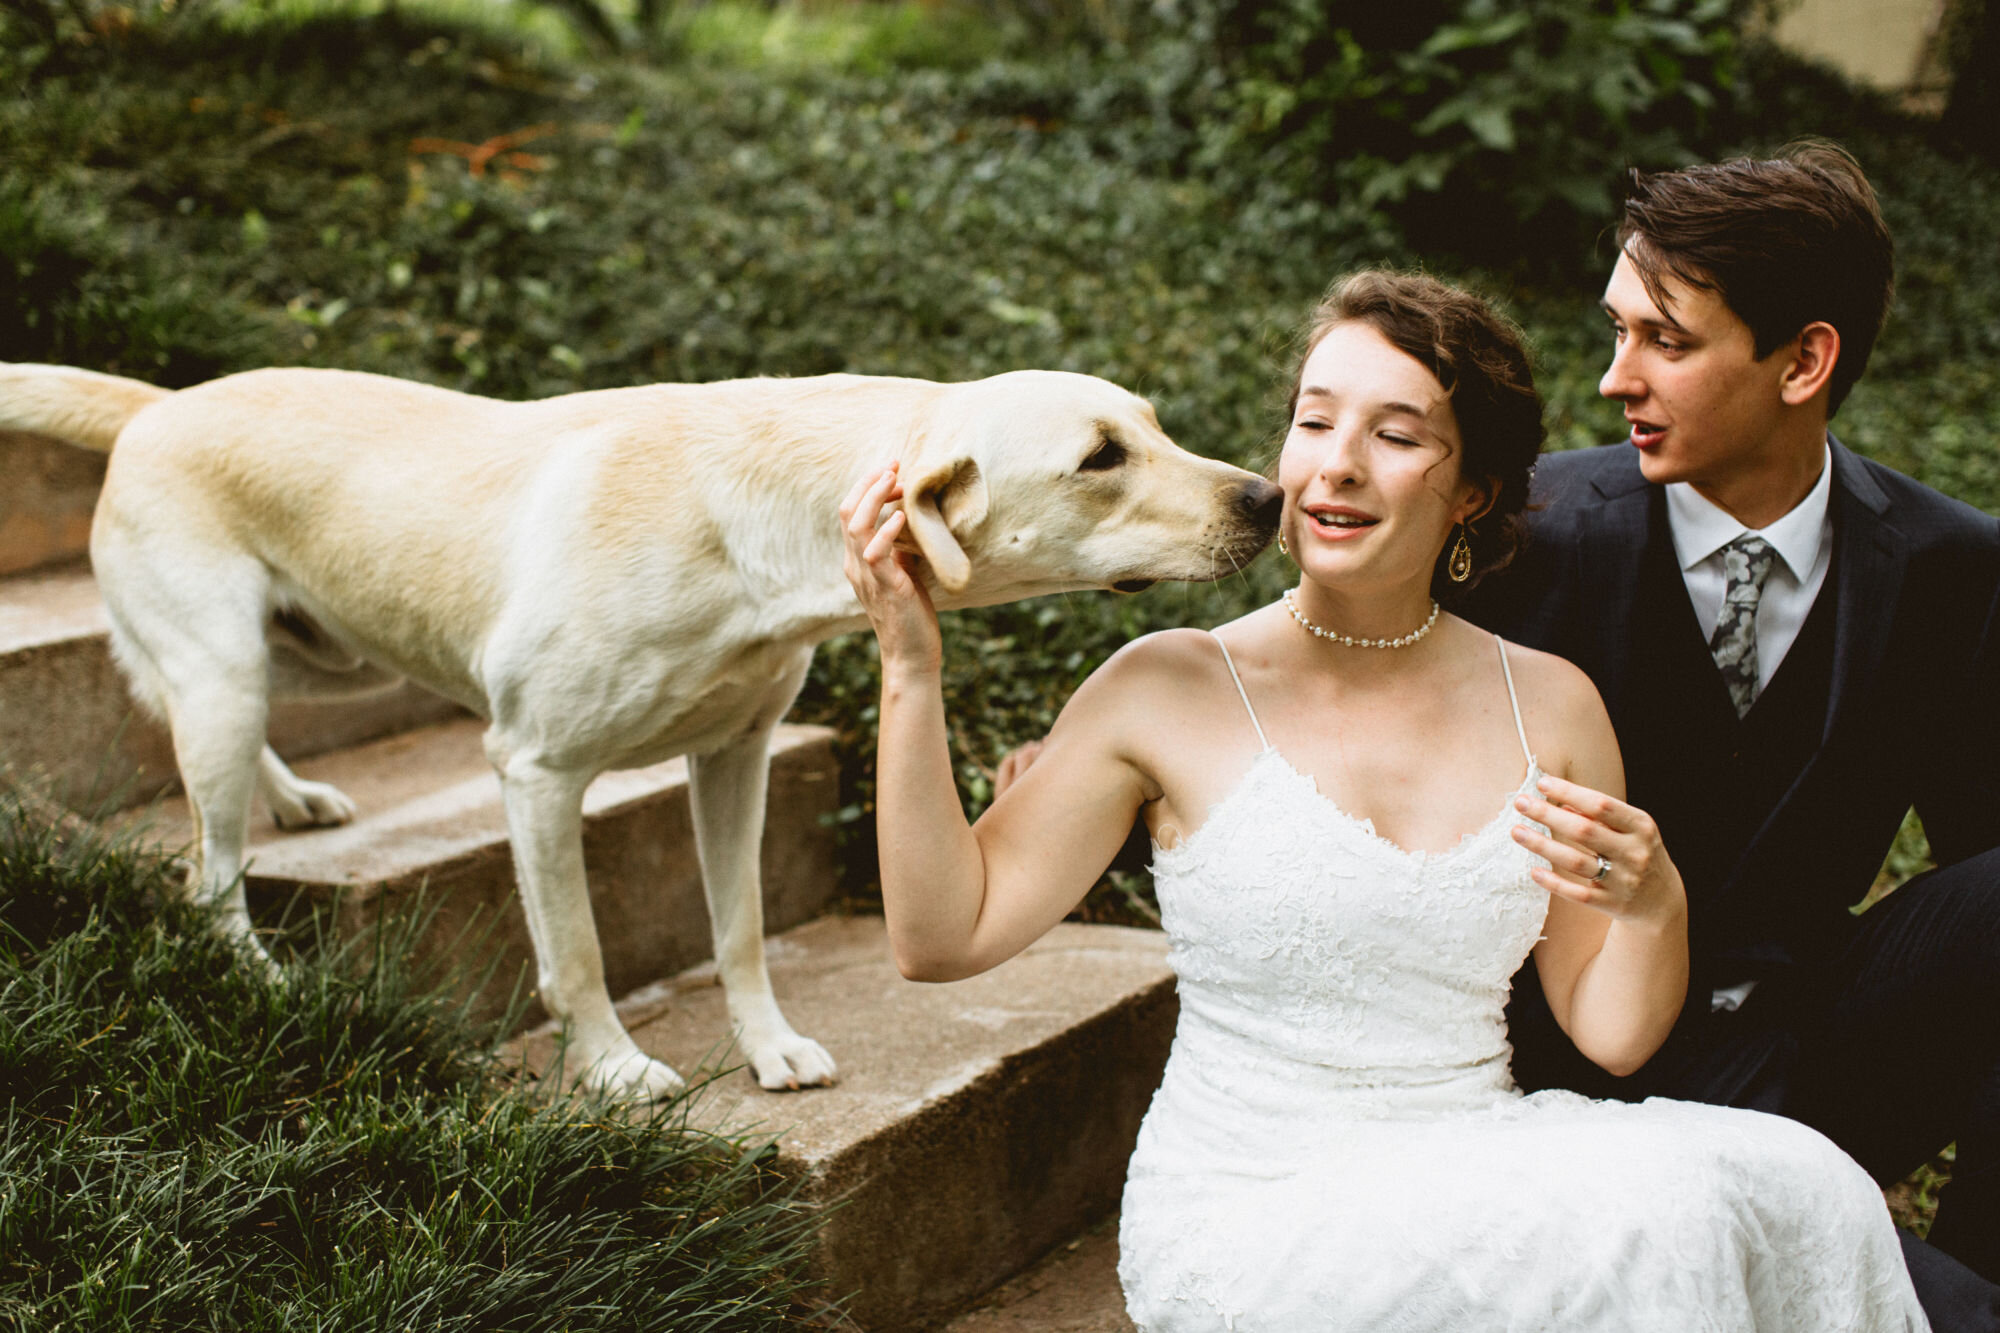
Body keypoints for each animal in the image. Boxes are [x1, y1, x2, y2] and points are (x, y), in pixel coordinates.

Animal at [0, 358, 1280, 1096]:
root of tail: (160, 404)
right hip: (230, 674)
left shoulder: (734, 757)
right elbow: (575, 954)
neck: (744, 522)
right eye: (1099, 458)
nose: (1268, 497)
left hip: (312, 656)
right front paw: (615, 1068)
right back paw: (262, 977)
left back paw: (296, 798)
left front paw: (767, 1047)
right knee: (207, 872)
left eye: (1154, 425)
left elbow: (740, 927)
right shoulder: (537, 772)